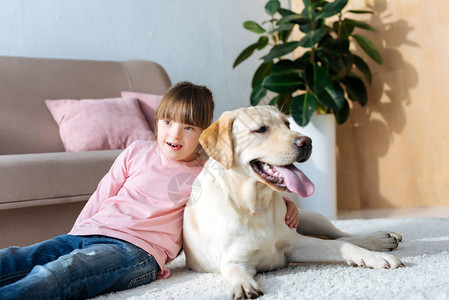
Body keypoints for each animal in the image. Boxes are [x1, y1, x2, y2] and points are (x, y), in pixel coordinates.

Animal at [182, 105, 402, 298]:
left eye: (287, 124)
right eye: (260, 129)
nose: (307, 142)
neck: (255, 205)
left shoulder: (296, 246)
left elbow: (341, 245)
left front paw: (376, 257)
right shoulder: (233, 260)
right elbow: (235, 272)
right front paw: (244, 285)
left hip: (313, 218)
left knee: (341, 235)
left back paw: (380, 239)